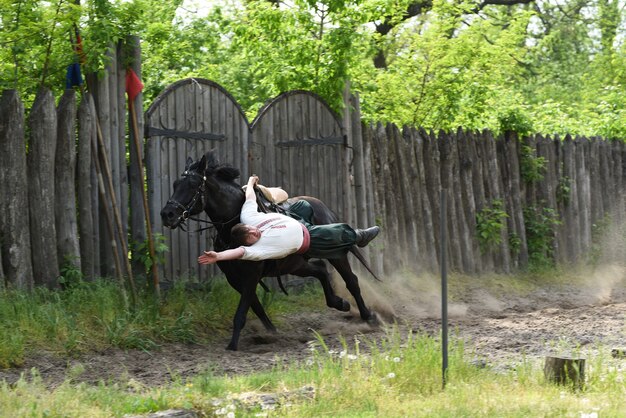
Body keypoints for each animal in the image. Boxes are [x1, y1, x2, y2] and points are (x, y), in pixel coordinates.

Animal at [158, 150, 378, 350]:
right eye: (175, 184)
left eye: (192, 185)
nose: (167, 214)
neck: (234, 222)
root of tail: (322, 206)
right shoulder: (235, 278)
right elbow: (255, 306)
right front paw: (271, 333)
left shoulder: (251, 275)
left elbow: (242, 311)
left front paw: (233, 345)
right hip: (295, 264)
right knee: (321, 270)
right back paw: (340, 303)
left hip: (335, 254)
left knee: (351, 280)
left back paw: (368, 315)